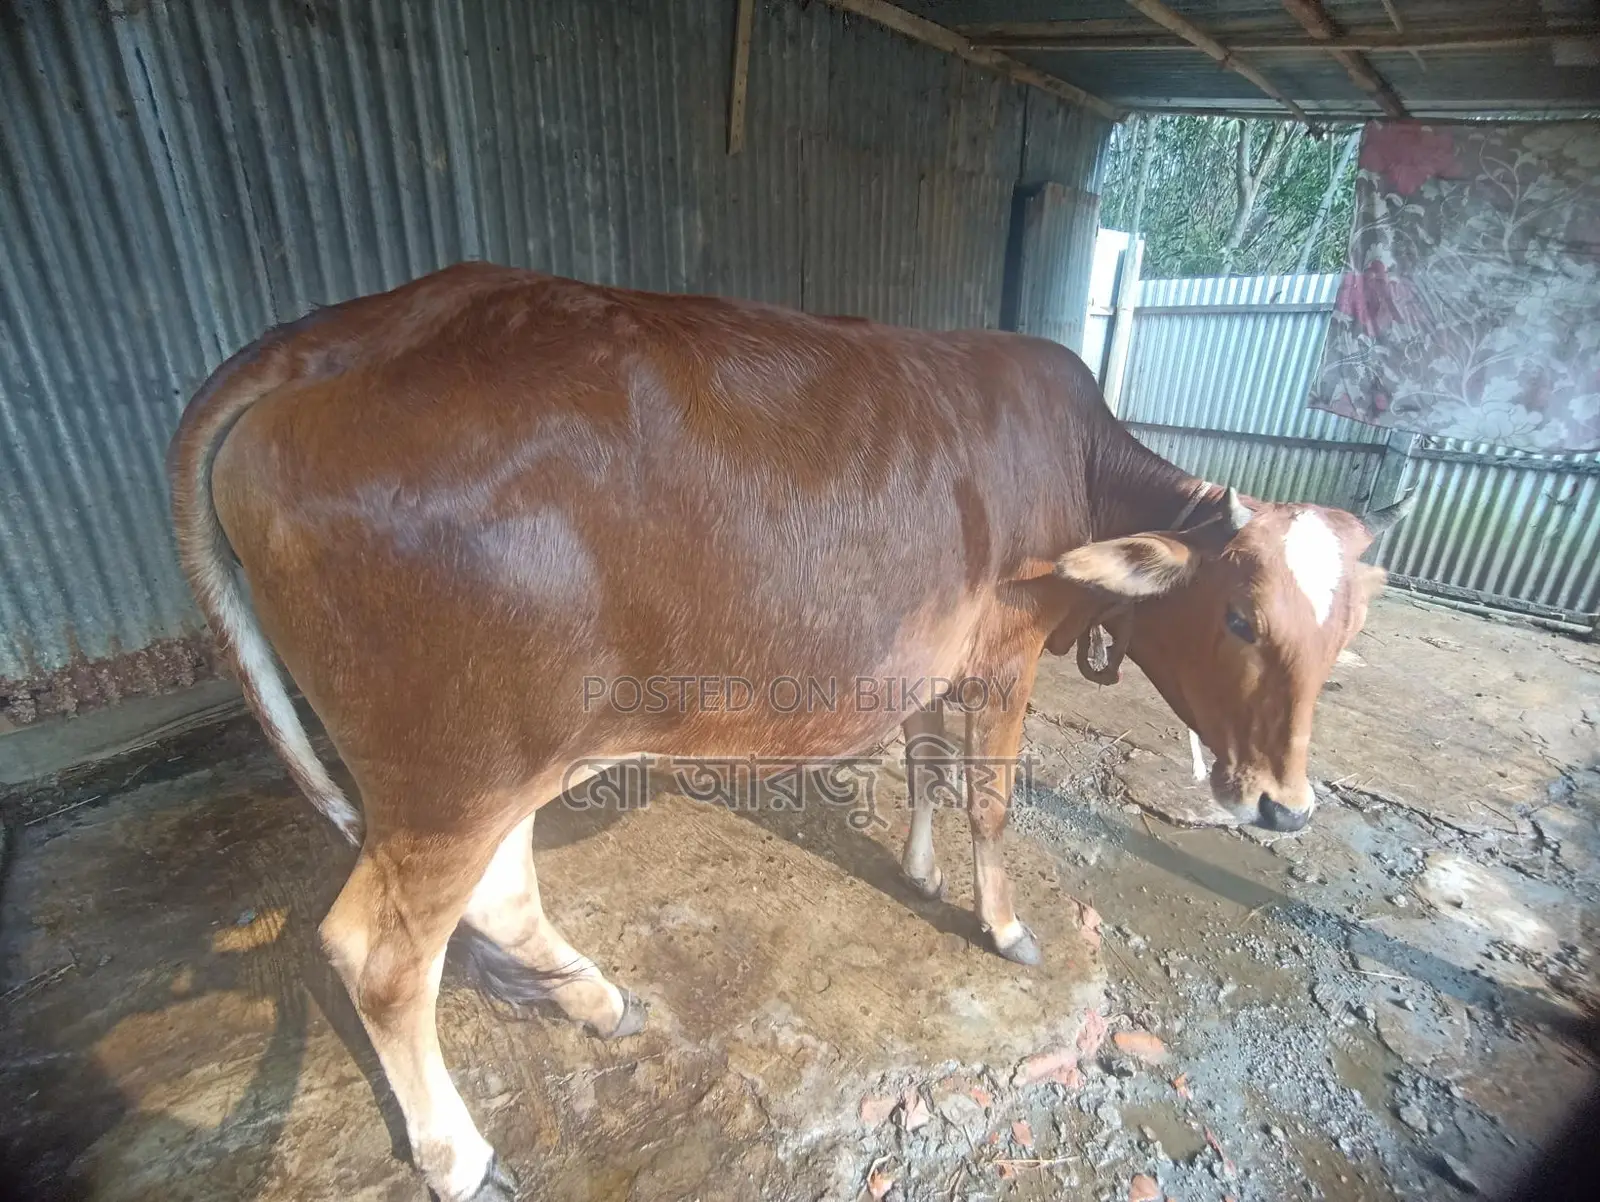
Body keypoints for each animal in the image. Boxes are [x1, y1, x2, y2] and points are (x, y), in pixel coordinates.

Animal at [167, 262, 1411, 1200]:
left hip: (507, 747)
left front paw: (916, 871)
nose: (1285, 803)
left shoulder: (934, 653)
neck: (1081, 468)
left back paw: (590, 995)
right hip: (448, 765)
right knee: (377, 955)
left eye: (1348, 630)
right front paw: (1004, 925)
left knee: (499, 887)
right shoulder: (1004, 652)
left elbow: (923, 765)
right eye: (1240, 614)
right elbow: (987, 796)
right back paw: (457, 1152)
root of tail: (344, 331)